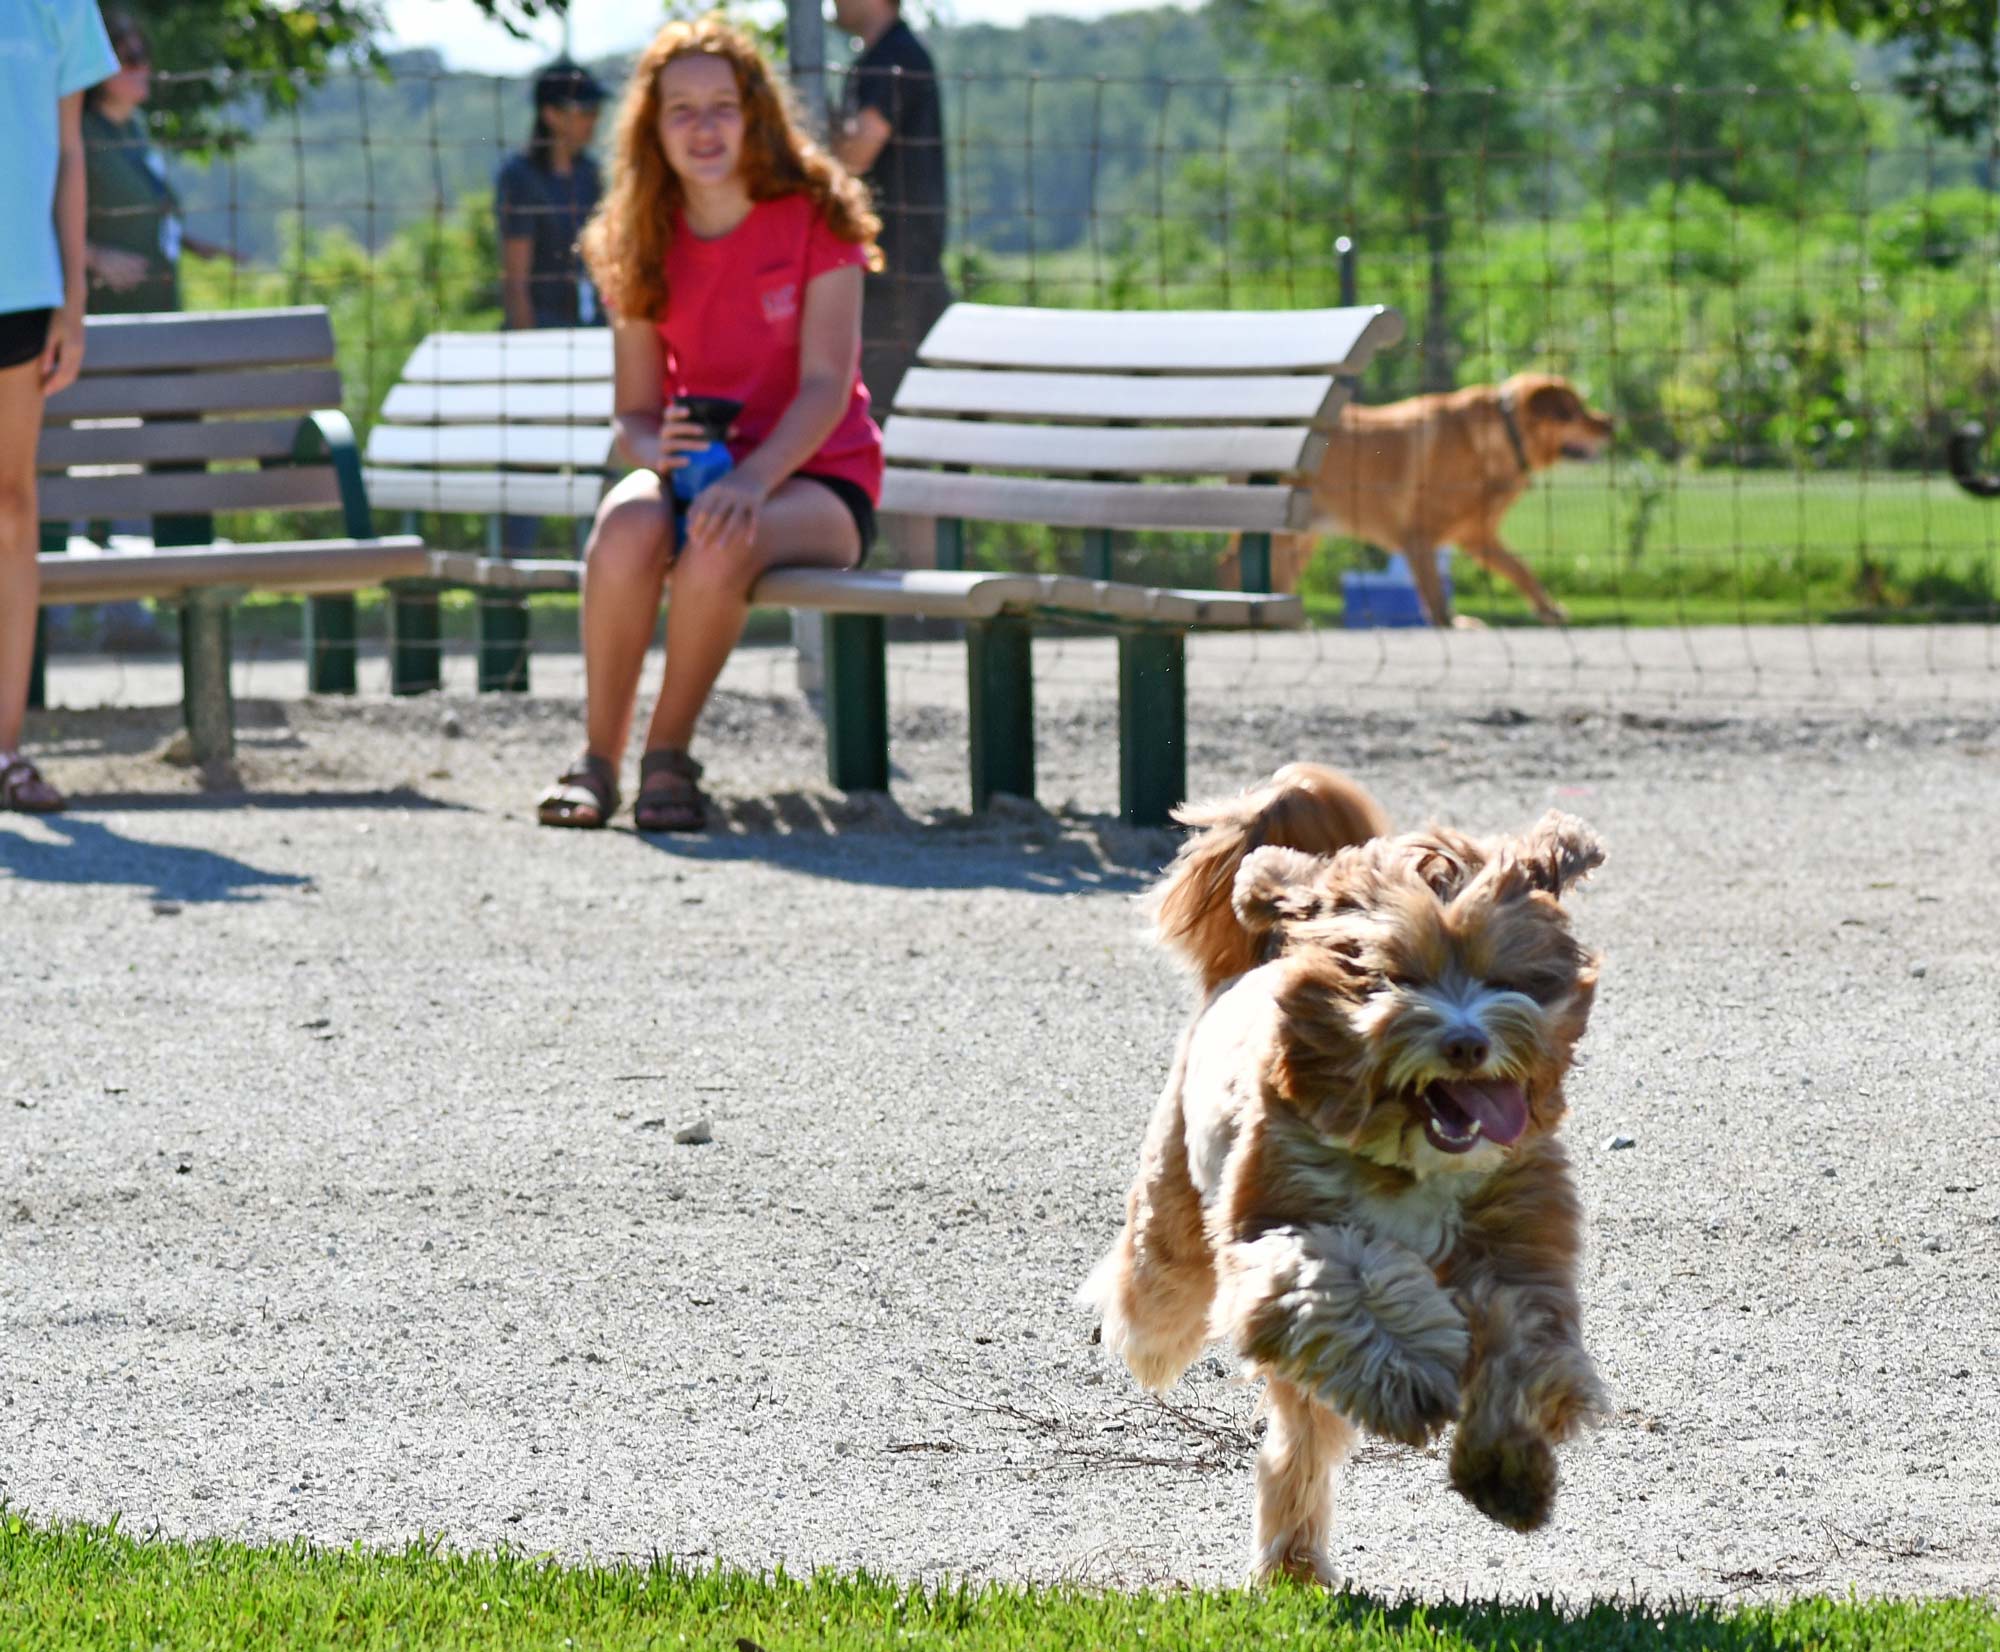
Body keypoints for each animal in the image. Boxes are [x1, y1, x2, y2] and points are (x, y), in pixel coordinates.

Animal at [1080, 764, 1608, 1584]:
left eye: (1504, 978)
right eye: (1397, 977)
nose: (1466, 1043)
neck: (1414, 1161)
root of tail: (1251, 965)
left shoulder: (1520, 1250)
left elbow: (1522, 1346)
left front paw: (1507, 1469)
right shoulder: (1280, 1229)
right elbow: (1349, 1283)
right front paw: (1412, 1371)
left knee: (1297, 1447)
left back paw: (1295, 1561)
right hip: (1174, 1215)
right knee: (1159, 1295)